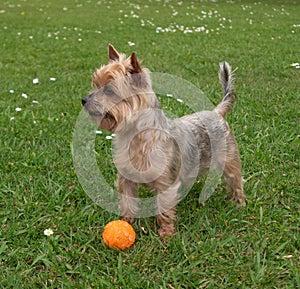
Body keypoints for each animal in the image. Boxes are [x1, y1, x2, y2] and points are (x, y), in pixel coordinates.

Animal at [81, 44, 244, 238]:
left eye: (109, 91)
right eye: (95, 84)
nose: (84, 100)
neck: (136, 137)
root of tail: (216, 112)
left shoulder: (165, 184)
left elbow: (164, 209)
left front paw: (166, 234)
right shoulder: (126, 179)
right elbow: (128, 202)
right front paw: (126, 222)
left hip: (230, 159)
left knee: (236, 180)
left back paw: (239, 204)